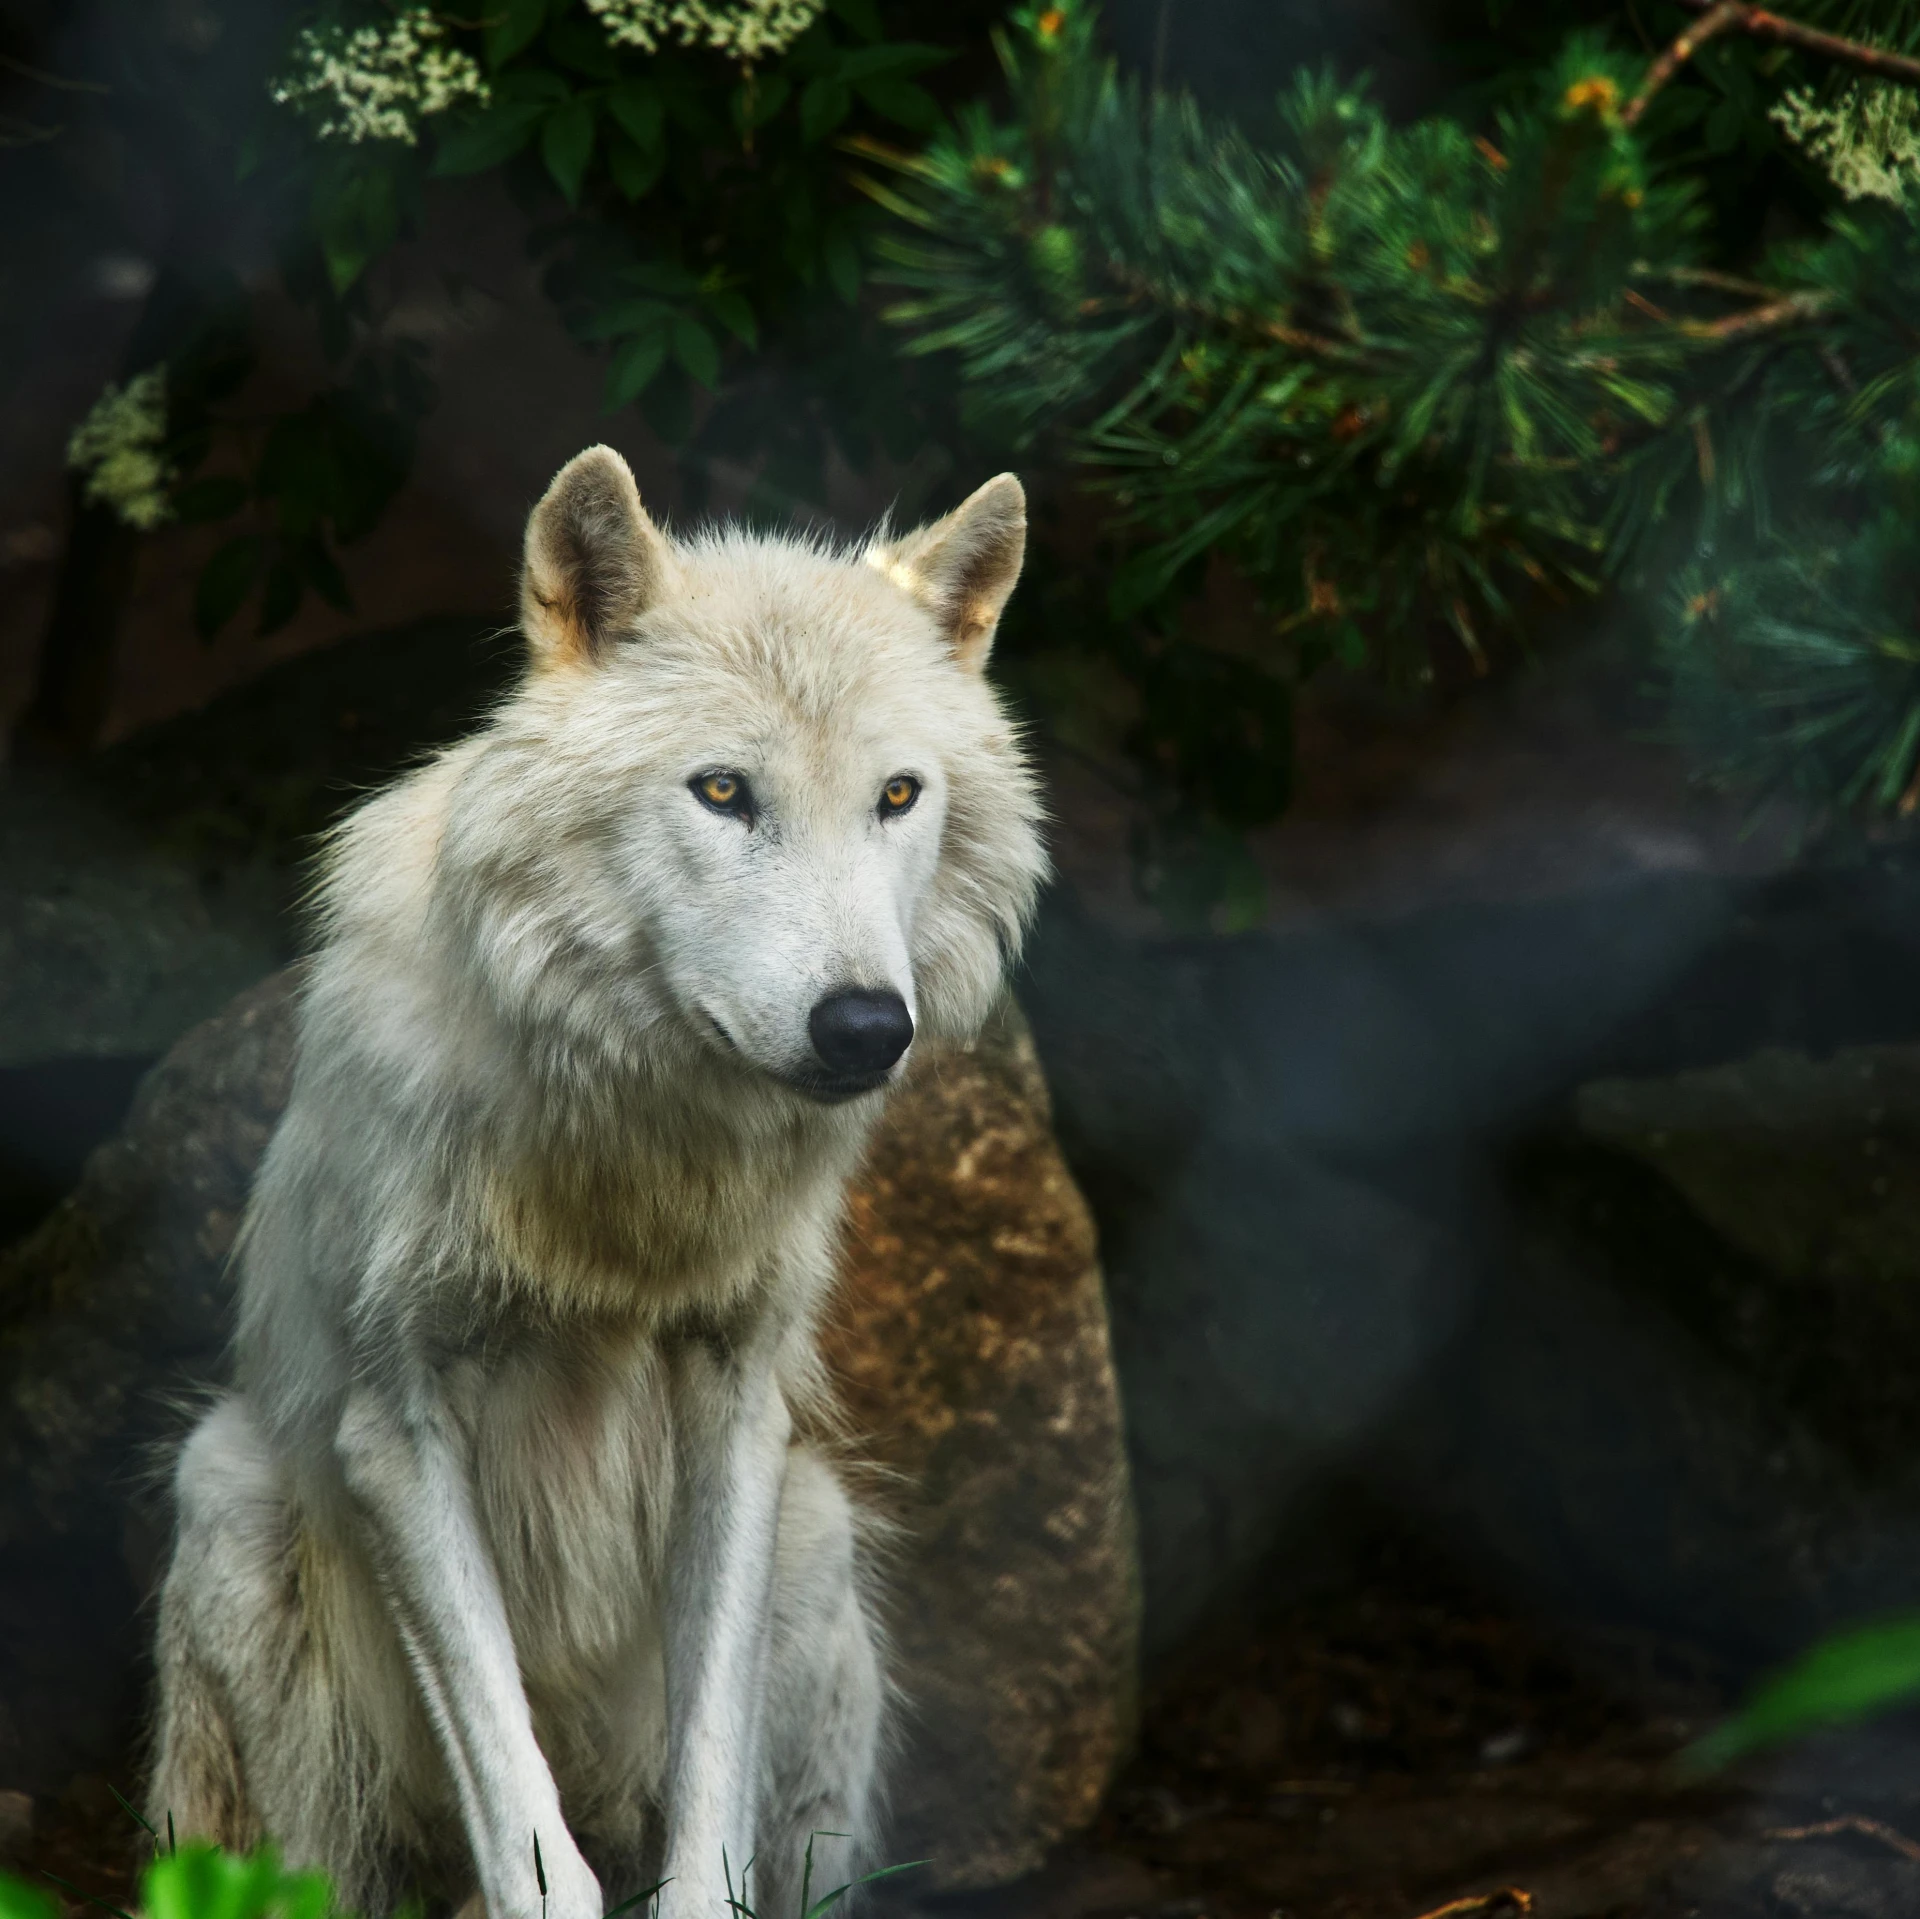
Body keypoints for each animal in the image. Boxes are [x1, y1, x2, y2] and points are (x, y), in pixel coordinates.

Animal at [145, 445, 1052, 1919]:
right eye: (724, 792)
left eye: (899, 796)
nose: (867, 1026)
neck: (627, 1152)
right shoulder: (396, 1426)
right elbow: (523, 1810)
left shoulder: (737, 1407)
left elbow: (706, 1802)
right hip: (229, 1500)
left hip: (817, 1529)